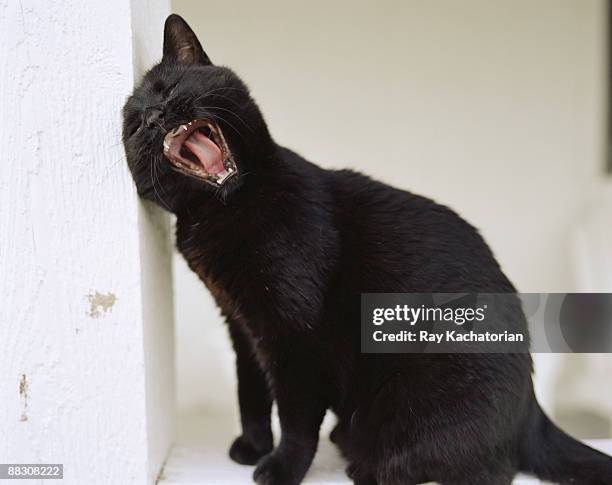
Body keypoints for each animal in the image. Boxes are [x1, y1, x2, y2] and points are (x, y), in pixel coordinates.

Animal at [120, 13, 612, 482]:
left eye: (171, 88)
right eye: (135, 126)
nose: (157, 116)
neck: (227, 209)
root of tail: (533, 412)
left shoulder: (294, 336)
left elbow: (296, 415)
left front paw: (282, 468)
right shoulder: (241, 325)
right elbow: (251, 392)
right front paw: (253, 447)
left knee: (486, 469)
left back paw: (369, 467)